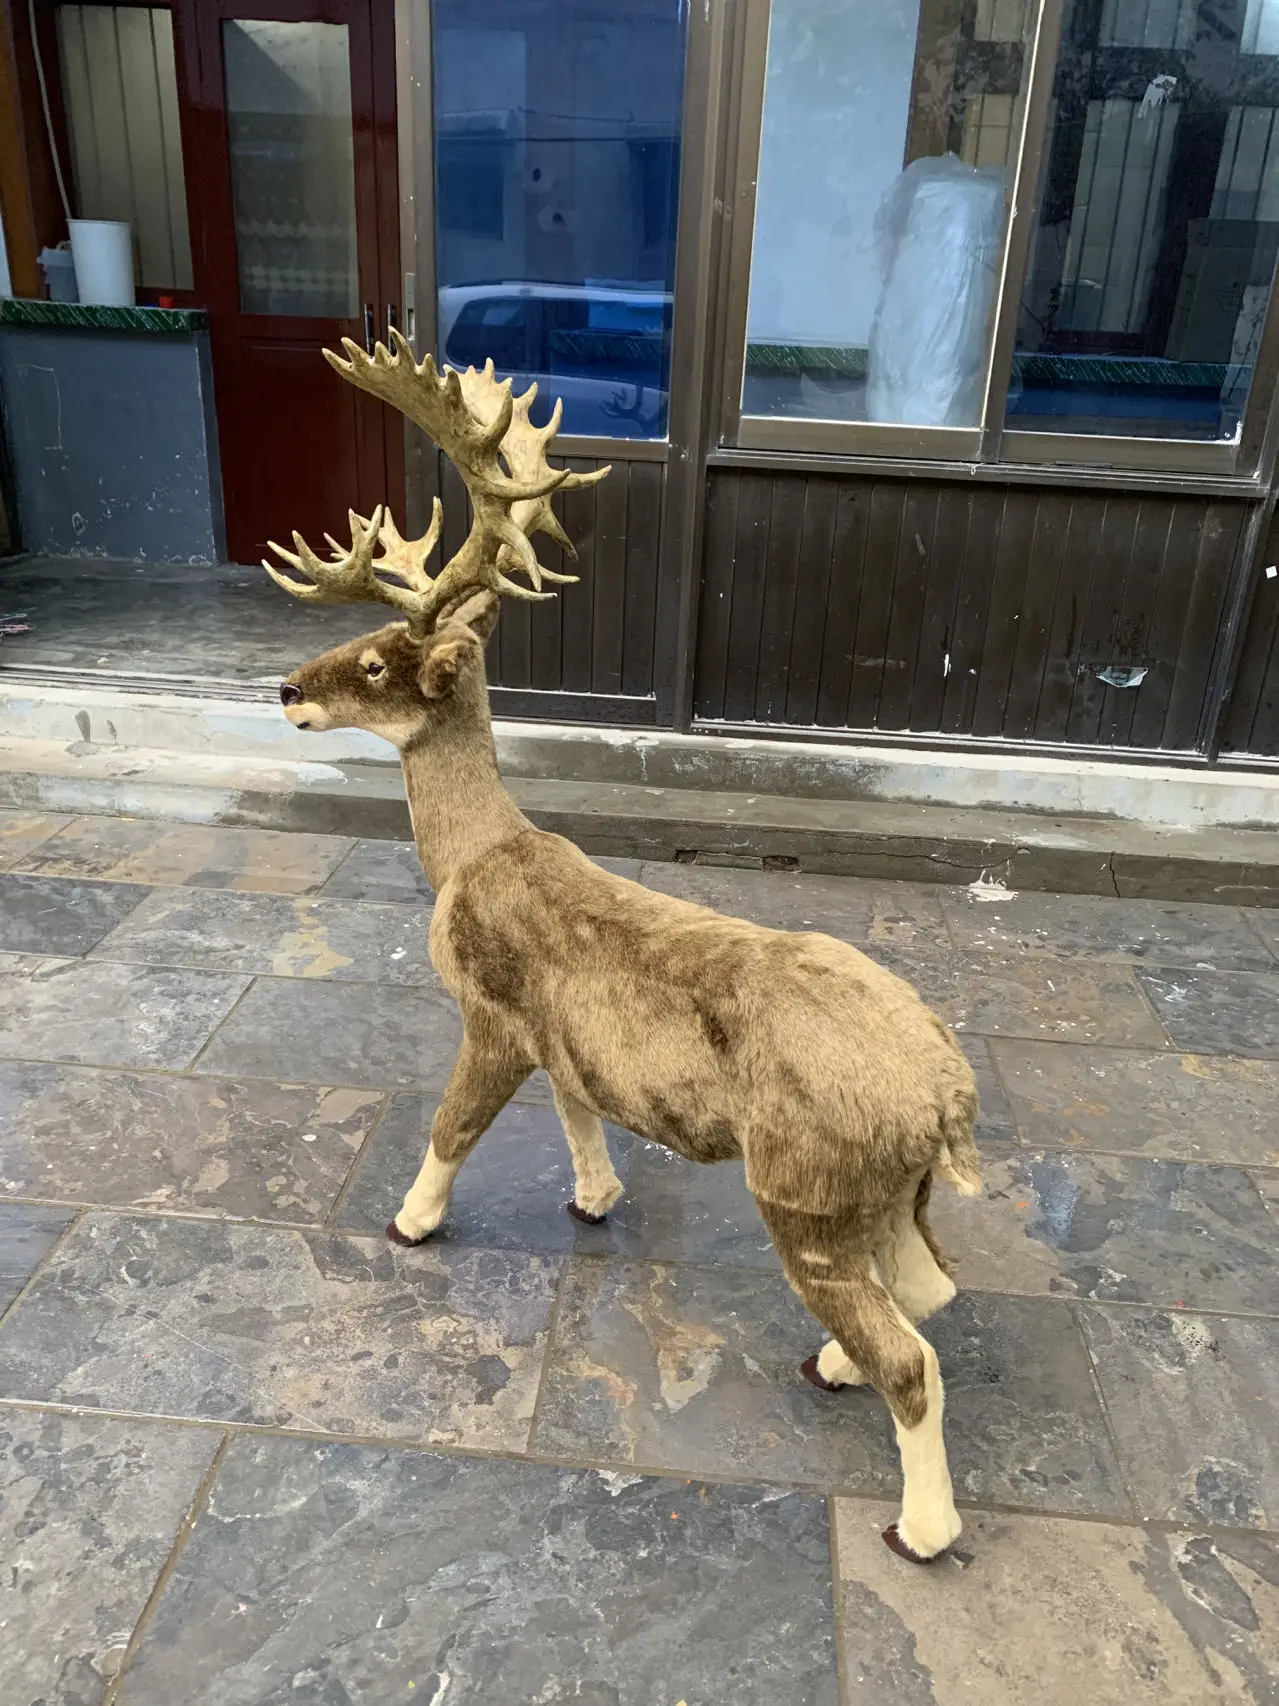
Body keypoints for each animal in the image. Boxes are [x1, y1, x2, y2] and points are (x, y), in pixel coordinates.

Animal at [265, 329, 983, 1565]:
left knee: (913, 1351)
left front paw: (409, 1220)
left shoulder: (492, 1008)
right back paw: (831, 1364)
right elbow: (577, 1110)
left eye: (378, 660)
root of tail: (945, 1095)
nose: (285, 687)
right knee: (926, 1291)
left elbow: (452, 1123)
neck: (467, 859)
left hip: (803, 1183)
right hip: (885, 1191)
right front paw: (595, 1198)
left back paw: (919, 1524)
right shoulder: (563, 1037)